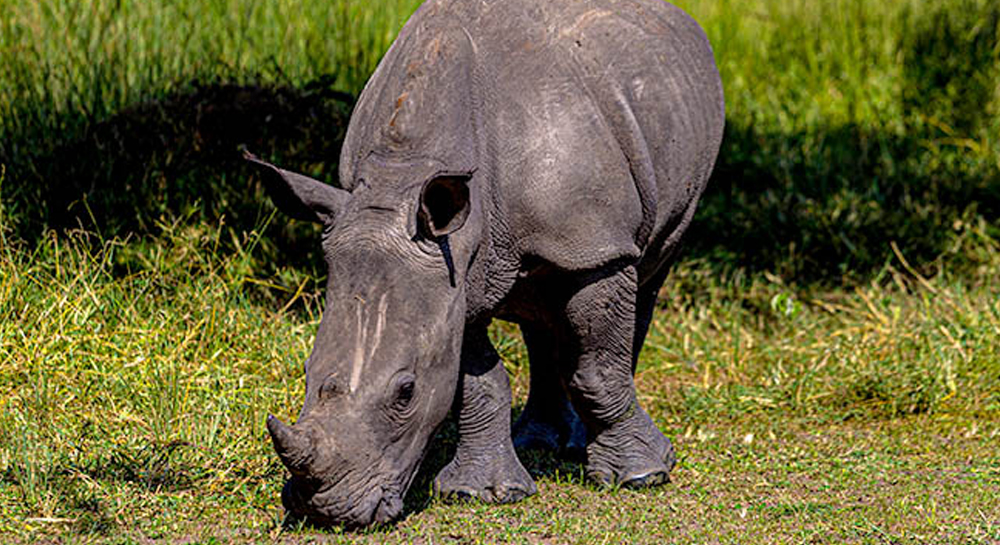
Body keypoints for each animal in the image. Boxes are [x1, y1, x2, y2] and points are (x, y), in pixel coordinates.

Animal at [249, 0, 724, 528]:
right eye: (306, 370)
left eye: (405, 392)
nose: (325, 511)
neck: (402, 176)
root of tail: (681, 18)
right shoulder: (452, 271)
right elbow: (474, 379)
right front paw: (484, 493)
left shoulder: (592, 246)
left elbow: (598, 365)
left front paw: (642, 477)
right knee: (540, 304)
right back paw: (539, 441)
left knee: (646, 277)